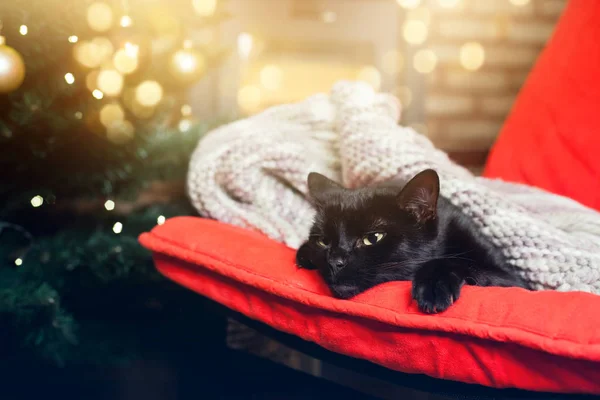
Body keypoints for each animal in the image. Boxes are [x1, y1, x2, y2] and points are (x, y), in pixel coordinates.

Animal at [296, 169, 528, 312]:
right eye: (323, 241)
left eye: (373, 238)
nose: (335, 262)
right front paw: (304, 254)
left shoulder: (515, 282)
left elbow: (461, 263)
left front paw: (434, 284)